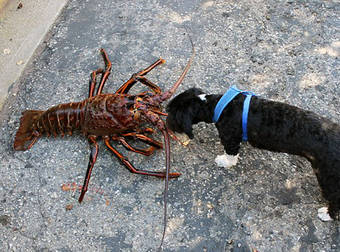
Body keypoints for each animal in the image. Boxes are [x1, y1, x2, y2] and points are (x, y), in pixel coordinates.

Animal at [167, 86, 340, 220]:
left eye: (171, 114)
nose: (166, 124)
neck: (216, 105)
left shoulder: (229, 137)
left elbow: (230, 155)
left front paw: (223, 161)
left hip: (327, 176)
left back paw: (327, 214)